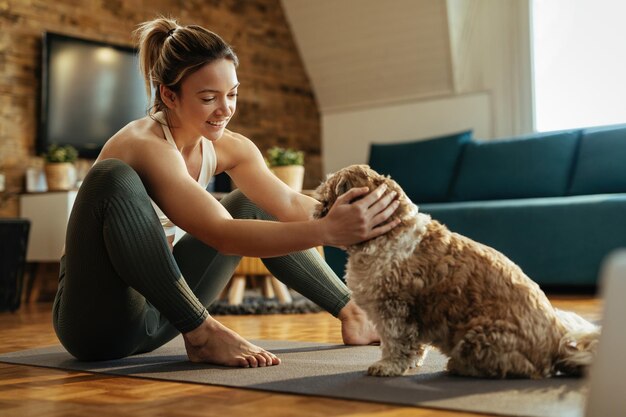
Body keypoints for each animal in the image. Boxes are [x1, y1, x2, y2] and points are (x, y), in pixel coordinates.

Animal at [314, 165, 596, 376]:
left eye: (328, 194)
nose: (317, 208)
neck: (388, 230)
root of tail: (557, 340)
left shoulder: (394, 307)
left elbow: (395, 342)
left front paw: (388, 365)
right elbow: (413, 344)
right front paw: (412, 362)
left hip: (479, 335)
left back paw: (461, 367)